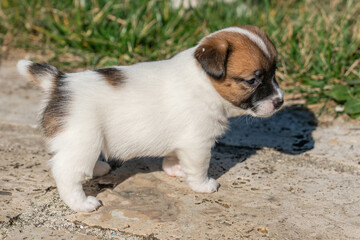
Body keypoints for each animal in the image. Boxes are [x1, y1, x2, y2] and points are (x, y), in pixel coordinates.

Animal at [17, 25, 284, 212]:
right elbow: (199, 168)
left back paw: (99, 168)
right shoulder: (198, 143)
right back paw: (81, 204)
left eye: (274, 73)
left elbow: (175, 156)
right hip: (83, 141)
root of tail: (59, 83)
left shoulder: (184, 142)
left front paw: (175, 169)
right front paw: (203, 185)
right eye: (252, 80)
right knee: (66, 172)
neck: (204, 81)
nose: (280, 101)